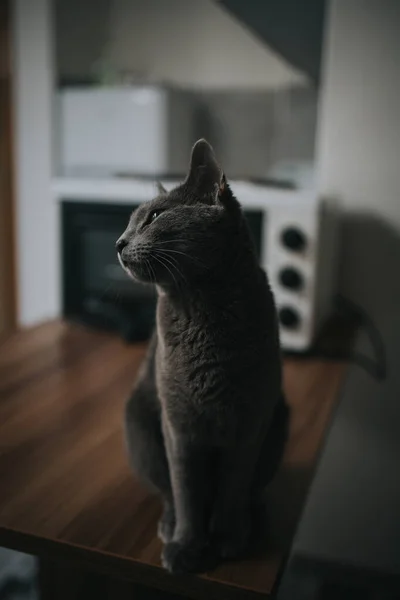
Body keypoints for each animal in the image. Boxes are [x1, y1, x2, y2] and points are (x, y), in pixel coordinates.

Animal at [115, 138, 288, 576]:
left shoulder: (250, 422)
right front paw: (188, 547)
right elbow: (187, 490)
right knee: (167, 491)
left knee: (251, 489)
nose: (118, 243)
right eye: (130, 223)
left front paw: (227, 538)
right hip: (139, 423)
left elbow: (233, 487)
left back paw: (253, 521)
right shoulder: (179, 425)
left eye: (154, 216)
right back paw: (169, 525)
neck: (201, 312)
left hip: (279, 424)